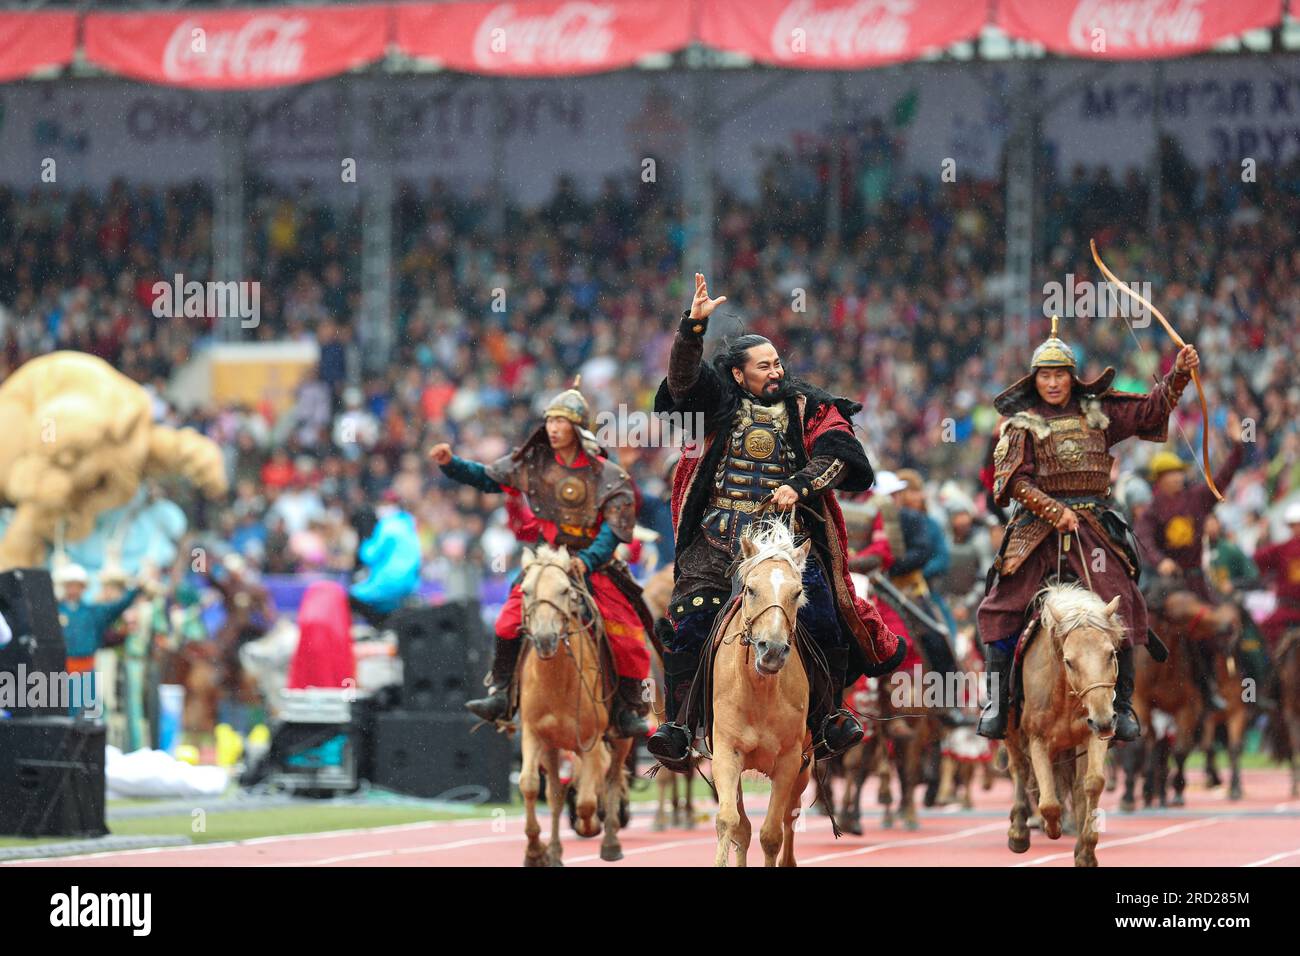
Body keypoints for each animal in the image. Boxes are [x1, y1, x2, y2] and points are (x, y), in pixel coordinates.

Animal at [512, 546, 629, 868]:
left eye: (565, 590)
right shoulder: (533, 735)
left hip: (622, 738)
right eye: (525, 591)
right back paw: (553, 850)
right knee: (555, 793)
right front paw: (535, 851)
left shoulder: (590, 740)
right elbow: (529, 785)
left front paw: (589, 827)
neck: (557, 681)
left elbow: (587, 801)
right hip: (553, 749)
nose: (545, 639)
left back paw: (611, 841)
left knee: (611, 779)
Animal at [712, 520, 811, 868]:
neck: (759, 693)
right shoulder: (726, 753)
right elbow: (730, 822)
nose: (772, 651)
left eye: (797, 593)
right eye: (750, 590)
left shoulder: (789, 760)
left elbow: (771, 834)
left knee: (790, 817)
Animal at [1003, 582, 1128, 868]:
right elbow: (1048, 802)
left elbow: (1092, 783)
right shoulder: (1037, 739)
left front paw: (1086, 850)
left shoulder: (1092, 735)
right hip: (1012, 732)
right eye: (1069, 661)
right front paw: (1051, 827)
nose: (1105, 720)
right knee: (1020, 768)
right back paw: (1019, 831)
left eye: (1111, 654)